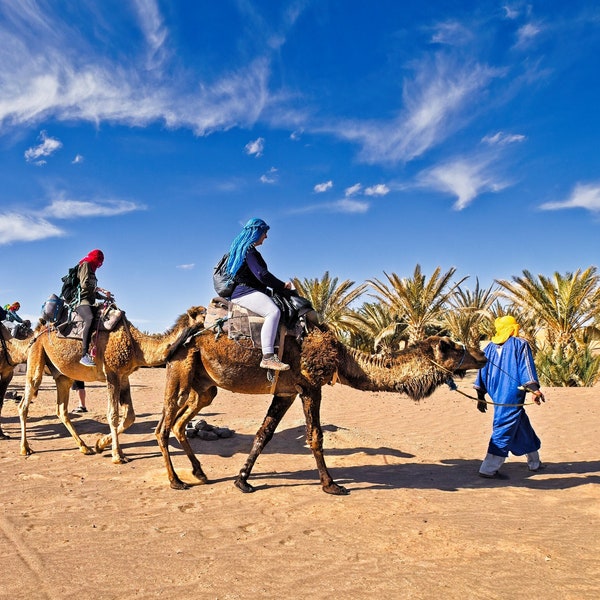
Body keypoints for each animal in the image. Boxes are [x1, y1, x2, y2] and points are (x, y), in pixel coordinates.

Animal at [18, 308, 206, 462]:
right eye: (204, 316)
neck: (137, 345)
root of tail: (37, 331)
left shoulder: (123, 376)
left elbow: (130, 416)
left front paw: (100, 444)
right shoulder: (112, 373)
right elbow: (113, 414)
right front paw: (117, 455)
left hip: (64, 376)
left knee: (61, 410)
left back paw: (84, 447)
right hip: (37, 354)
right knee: (25, 402)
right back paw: (25, 448)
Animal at [156, 316, 488, 494]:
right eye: (450, 346)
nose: (482, 355)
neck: (342, 357)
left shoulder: (286, 392)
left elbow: (264, 434)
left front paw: (242, 480)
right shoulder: (310, 387)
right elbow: (315, 436)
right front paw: (331, 484)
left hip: (205, 386)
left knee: (180, 423)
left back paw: (200, 473)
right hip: (180, 369)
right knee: (163, 426)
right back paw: (176, 481)